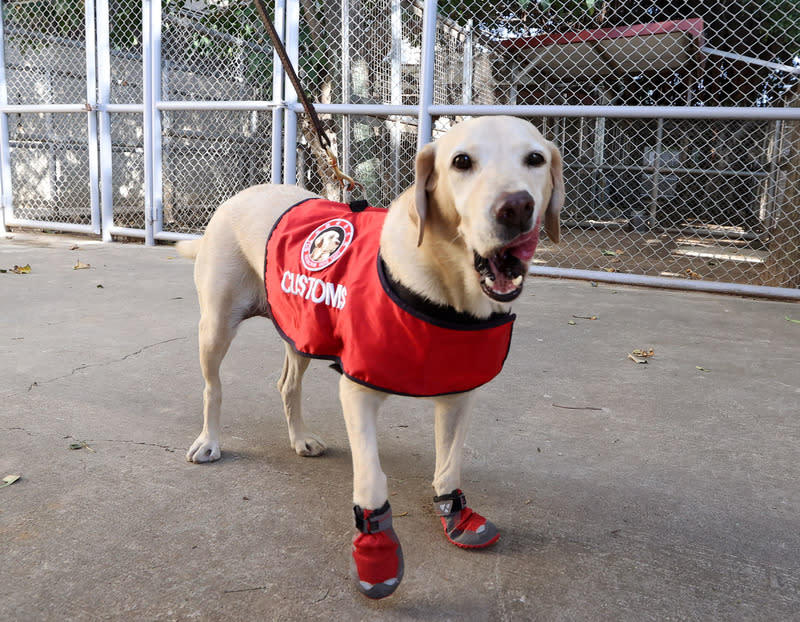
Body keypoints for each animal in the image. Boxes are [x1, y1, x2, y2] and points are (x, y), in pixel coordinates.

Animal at [177, 117, 564, 600]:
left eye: (535, 159)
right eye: (461, 161)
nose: (516, 208)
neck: (445, 287)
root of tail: (240, 195)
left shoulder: (459, 395)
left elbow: (449, 464)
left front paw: (454, 514)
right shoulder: (358, 393)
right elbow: (371, 478)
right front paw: (376, 551)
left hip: (302, 329)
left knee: (287, 385)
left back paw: (300, 438)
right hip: (216, 327)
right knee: (213, 388)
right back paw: (209, 441)